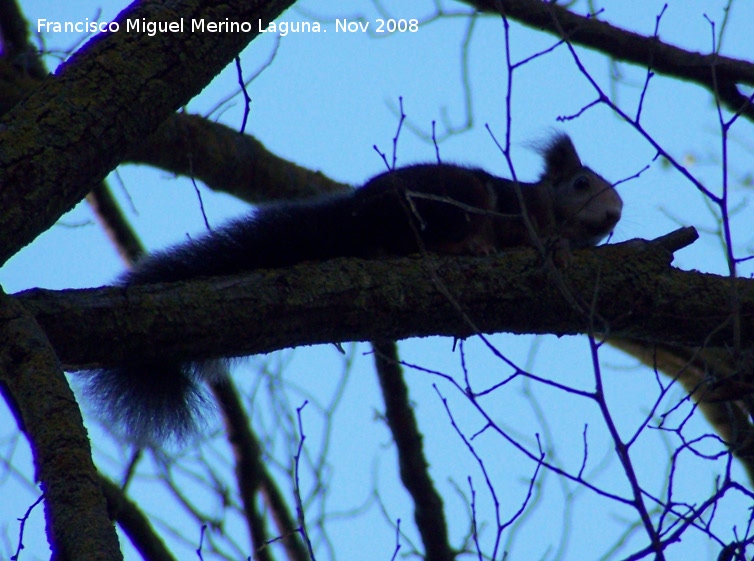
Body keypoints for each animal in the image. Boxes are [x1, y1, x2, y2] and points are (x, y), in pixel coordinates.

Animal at [83, 135, 624, 442]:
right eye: (581, 183)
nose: (615, 215)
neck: (546, 207)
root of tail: (355, 216)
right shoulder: (515, 208)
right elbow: (525, 234)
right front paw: (553, 247)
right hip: (451, 199)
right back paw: (467, 246)